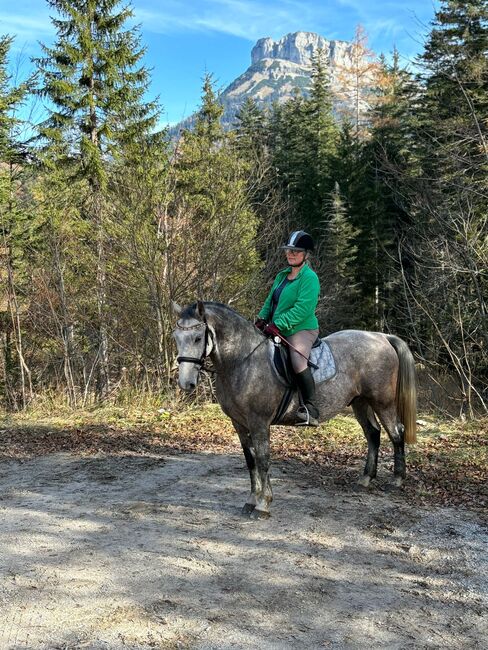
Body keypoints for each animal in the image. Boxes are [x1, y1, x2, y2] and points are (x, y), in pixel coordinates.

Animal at [172, 302, 416, 520]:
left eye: (197, 338)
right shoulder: (239, 424)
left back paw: (397, 480)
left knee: (396, 432)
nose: (186, 383)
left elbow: (263, 460)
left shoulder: (259, 422)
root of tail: (381, 337)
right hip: (360, 402)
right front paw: (251, 500)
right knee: (373, 434)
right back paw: (366, 478)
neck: (243, 361)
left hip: (382, 402)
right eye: (176, 337)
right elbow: (251, 461)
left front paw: (263, 505)